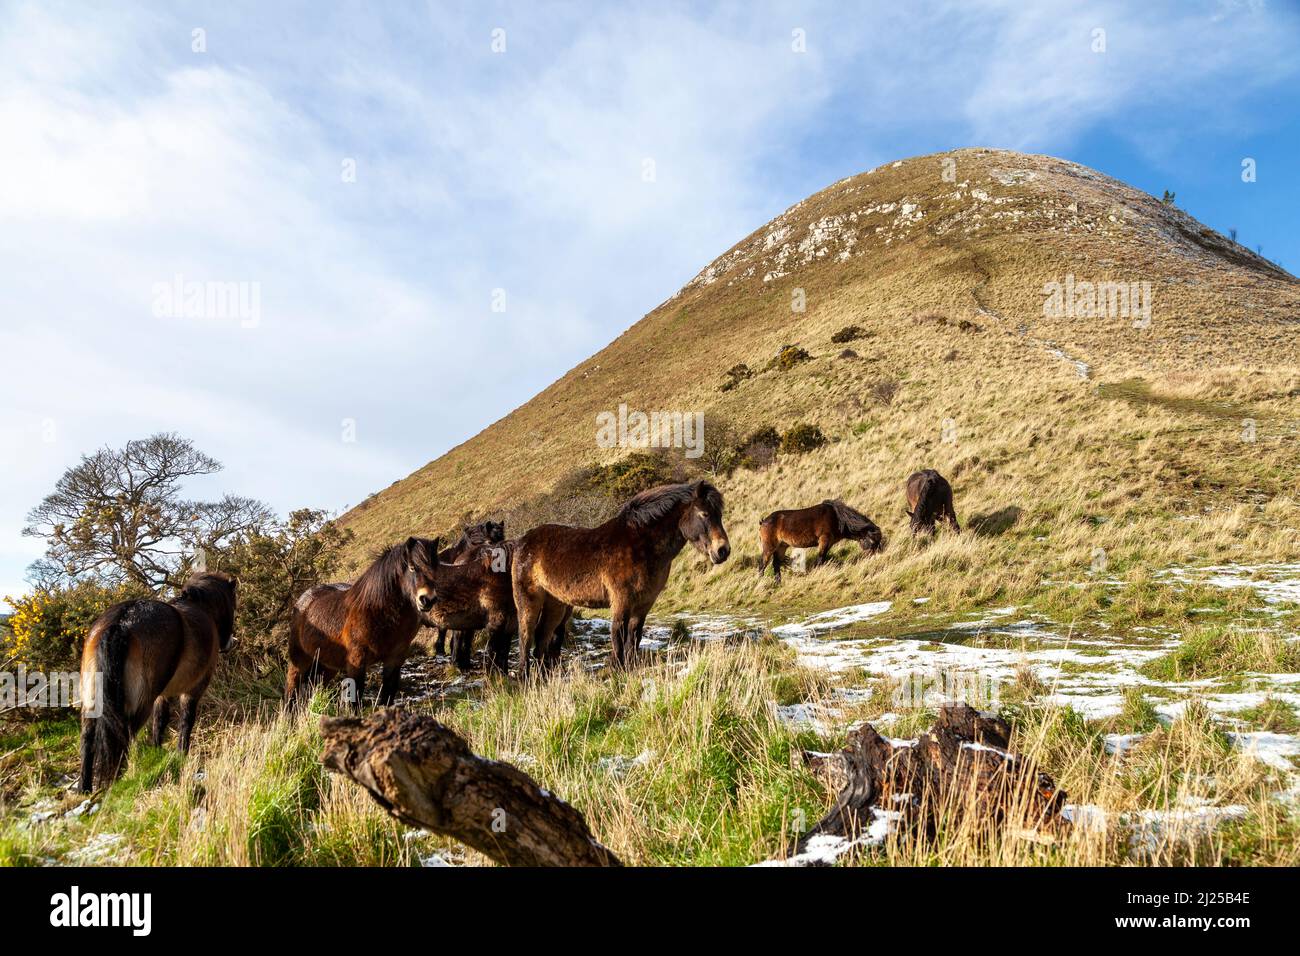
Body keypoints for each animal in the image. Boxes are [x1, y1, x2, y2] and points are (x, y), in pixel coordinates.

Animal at [78, 572, 238, 792]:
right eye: (233, 604)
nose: (229, 643)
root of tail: (121, 622)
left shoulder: (163, 694)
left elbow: (160, 722)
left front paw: (157, 751)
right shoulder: (193, 690)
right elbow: (186, 721)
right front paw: (181, 754)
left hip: (92, 702)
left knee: (88, 738)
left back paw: (85, 787)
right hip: (138, 705)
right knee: (123, 737)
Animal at [285, 536, 441, 709]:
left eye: (436, 567)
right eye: (413, 567)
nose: (427, 599)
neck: (378, 613)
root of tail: (302, 601)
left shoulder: (395, 660)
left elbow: (388, 694)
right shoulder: (357, 661)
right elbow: (355, 700)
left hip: (326, 666)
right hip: (299, 661)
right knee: (290, 692)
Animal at [511, 480, 730, 672]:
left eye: (719, 515)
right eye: (704, 514)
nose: (723, 551)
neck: (641, 545)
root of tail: (523, 541)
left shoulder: (644, 604)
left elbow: (634, 636)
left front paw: (630, 667)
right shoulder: (622, 600)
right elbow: (618, 635)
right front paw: (616, 670)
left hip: (556, 603)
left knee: (541, 637)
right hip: (529, 600)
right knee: (526, 635)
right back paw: (525, 677)